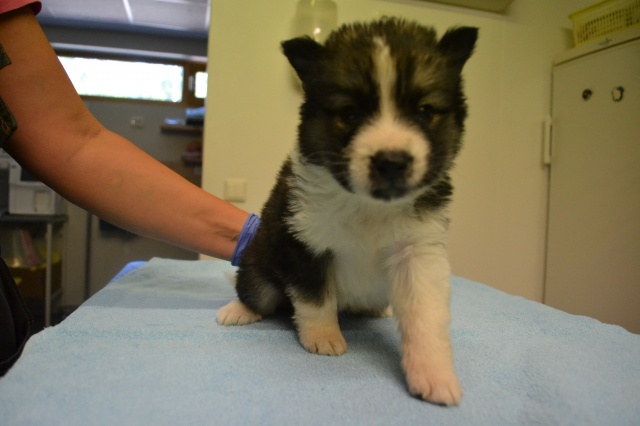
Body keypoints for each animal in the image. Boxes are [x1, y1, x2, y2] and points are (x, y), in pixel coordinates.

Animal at [217, 18, 477, 406]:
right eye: (350, 113)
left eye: (424, 111)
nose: (391, 161)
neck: (368, 205)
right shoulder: (304, 242)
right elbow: (315, 298)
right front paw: (323, 338)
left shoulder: (418, 251)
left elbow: (425, 314)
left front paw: (435, 374)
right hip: (261, 264)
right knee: (257, 293)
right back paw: (239, 311)